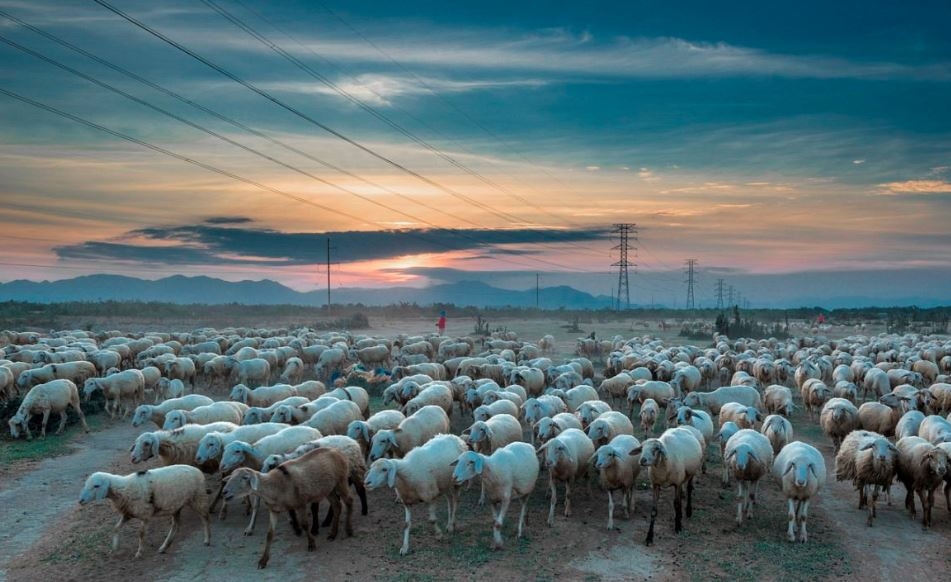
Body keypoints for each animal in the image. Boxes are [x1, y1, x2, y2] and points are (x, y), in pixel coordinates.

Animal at [78, 466, 212, 560]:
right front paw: (114, 548)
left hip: (198, 497)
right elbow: (116, 528)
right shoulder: (128, 513)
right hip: (176, 505)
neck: (123, 489)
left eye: (96, 486)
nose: (81, 501)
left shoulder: (145, 515)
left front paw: (139, 553)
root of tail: (197, 470)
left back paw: (207, 539)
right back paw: (164, 547)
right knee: (176, 526)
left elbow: (141, 534)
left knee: (205, 517)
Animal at [223, 450, 354, 568]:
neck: (275, 485)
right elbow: (270, 534)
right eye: (230, 477)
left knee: (349, 501)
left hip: (341, 481)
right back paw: (333, 534)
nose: (224, 492)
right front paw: (263, 560)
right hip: (328, 489)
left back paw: (348, 530)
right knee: (337, 506)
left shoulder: (300, 504)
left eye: (245, 477)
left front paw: (311, 544)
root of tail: (337, 451)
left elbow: (305, 525)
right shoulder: (274, 510)